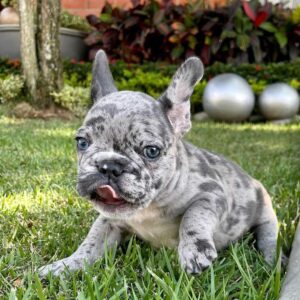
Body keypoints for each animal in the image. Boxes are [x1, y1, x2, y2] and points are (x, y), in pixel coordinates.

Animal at [39, 50, 278, 278]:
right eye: (81, 142)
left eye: (151, 151)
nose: (109, 166)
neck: (149, 207)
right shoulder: (108, 220)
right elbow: (92, 241)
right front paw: (66, 265)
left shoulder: (212, 193)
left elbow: (194, 215)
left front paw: (194, 249)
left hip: (265, 211)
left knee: (268, 236)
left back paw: (271, 260)